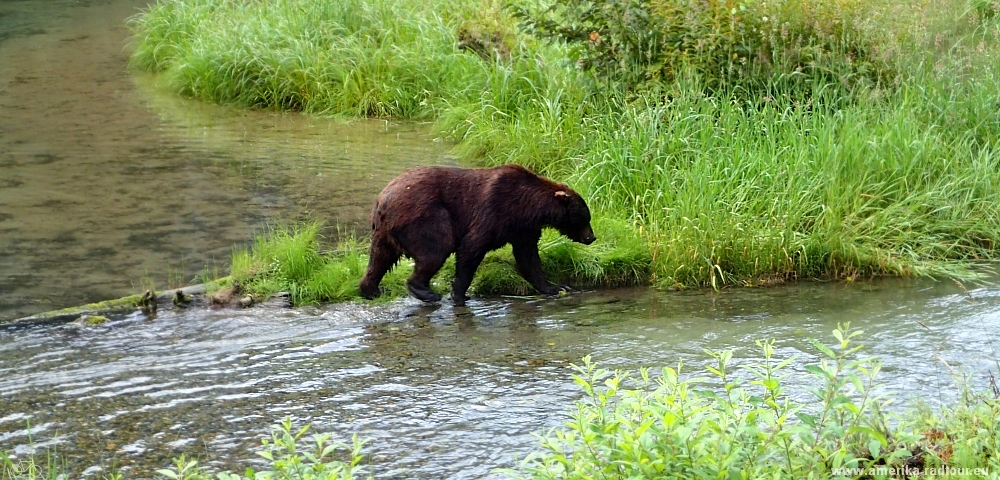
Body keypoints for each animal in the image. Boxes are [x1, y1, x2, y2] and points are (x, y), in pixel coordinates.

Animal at [360, 165, 592, 306]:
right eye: (584, 218)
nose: (592, 237)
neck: (528, 207)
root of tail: (382, 199)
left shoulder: (523, 229)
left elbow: (529, 259)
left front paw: (556, 287)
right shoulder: (494, 210)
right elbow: (471, 247)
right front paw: (459, 293)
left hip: (384, 231)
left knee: (379, 259)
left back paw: (373, 290)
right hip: (424, 217)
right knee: (436, 249)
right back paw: (426, 292)